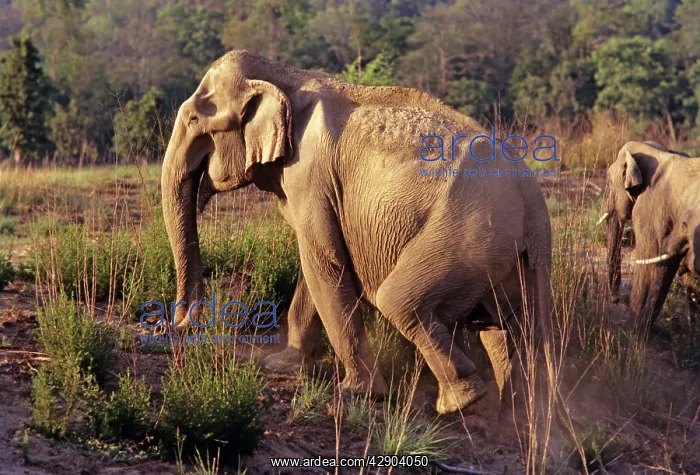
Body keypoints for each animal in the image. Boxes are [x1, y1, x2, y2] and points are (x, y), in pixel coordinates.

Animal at [161, 50, 553, 414]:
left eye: (195, 118)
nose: (183, 326)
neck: (286, 76)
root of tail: (532, 198)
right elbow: (315, 268)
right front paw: (282, 365)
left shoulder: (311, 174)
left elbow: (324, 264)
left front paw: (357, 392)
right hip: (508, 255)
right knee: (508, 328)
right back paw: (513, 413)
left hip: (465, 234)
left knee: (401, 303)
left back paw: (458, 403)